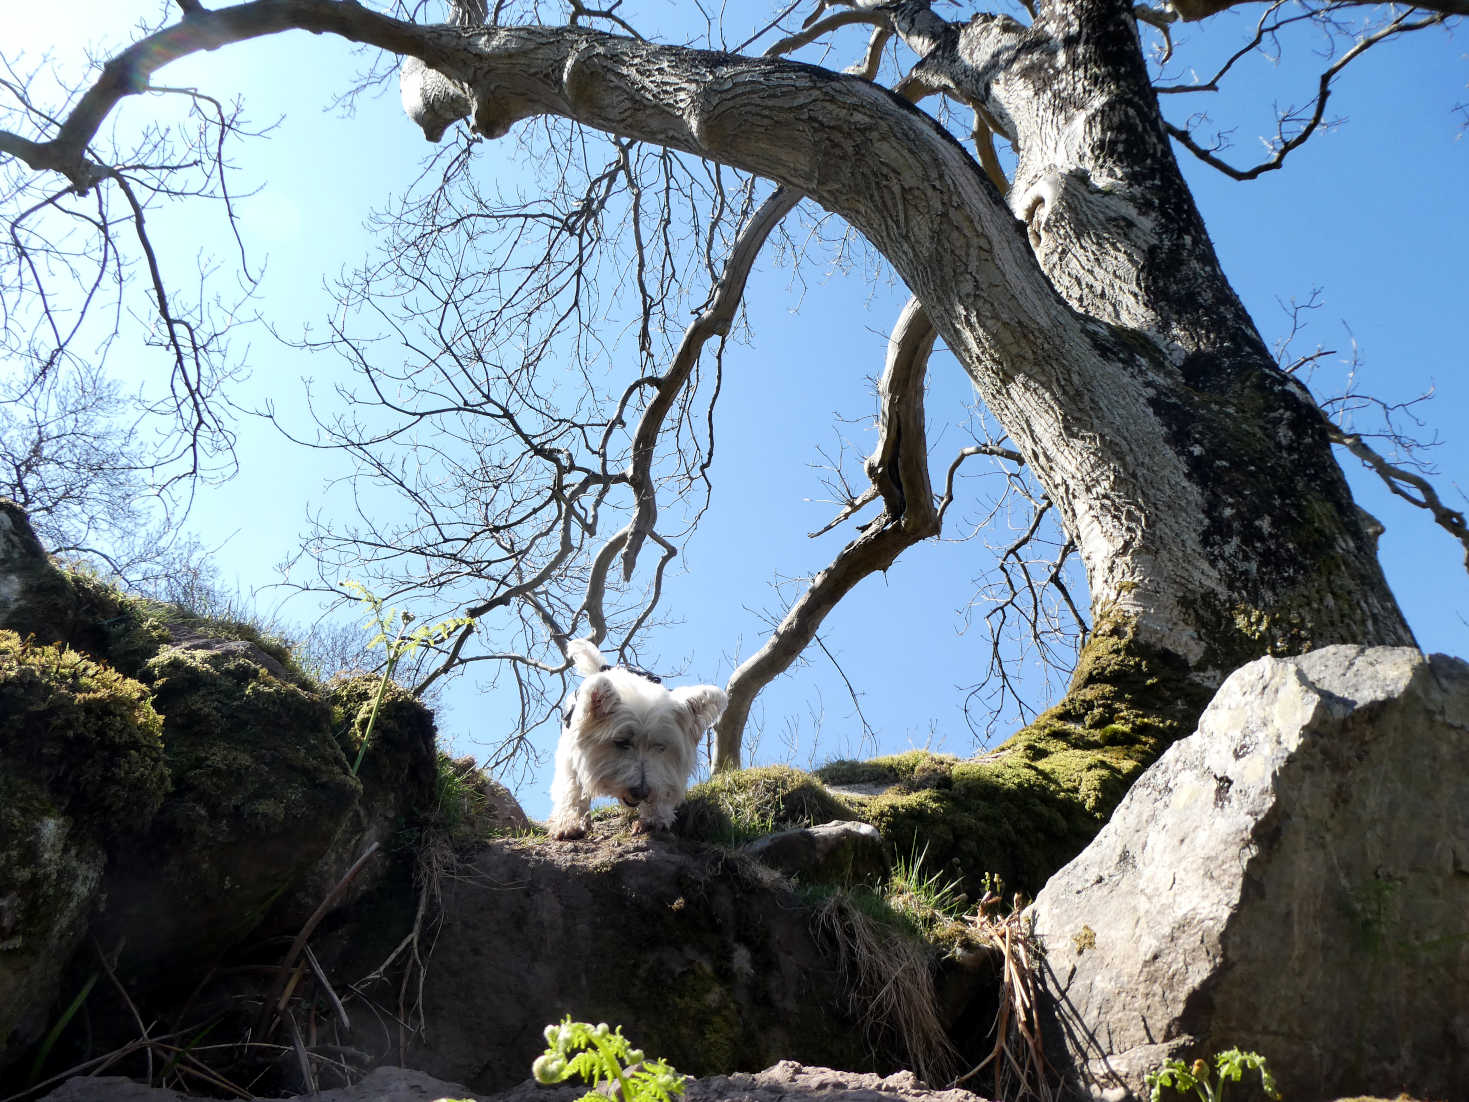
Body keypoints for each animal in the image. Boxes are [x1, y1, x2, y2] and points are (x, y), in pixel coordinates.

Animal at [546, 637, 728, 834]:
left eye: (660, 747)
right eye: (621, 742)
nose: (641, 792)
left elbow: (663, 785)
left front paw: (655, 816)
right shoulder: (569, 754)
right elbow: (572, 785)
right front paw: (569, 823)